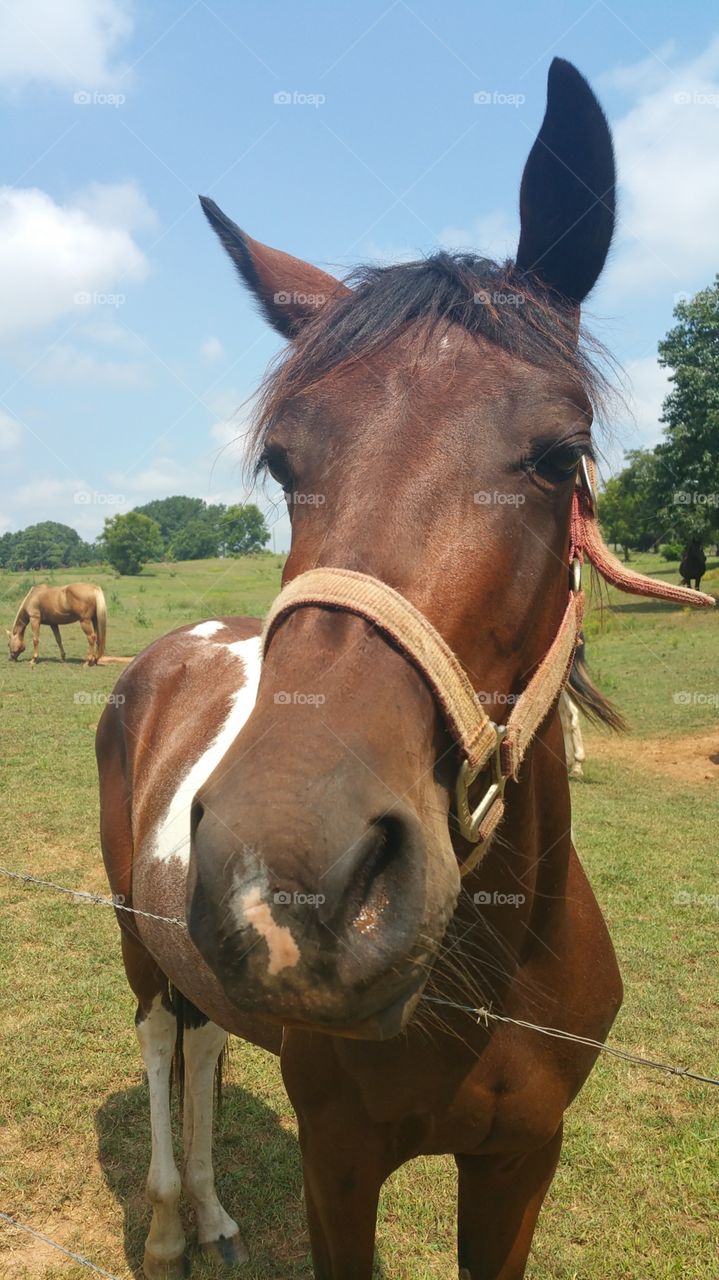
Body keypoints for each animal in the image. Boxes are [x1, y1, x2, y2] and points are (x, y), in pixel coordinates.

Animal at [97, 60, 714, 1280]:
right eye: (282, 463)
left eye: (560, 454)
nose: (289, 886)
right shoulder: (337, 1165)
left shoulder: (521, 1161)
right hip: (137, 937)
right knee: (160, 1038)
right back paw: (169, 1217)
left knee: (205, 1047)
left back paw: (212, 1212)